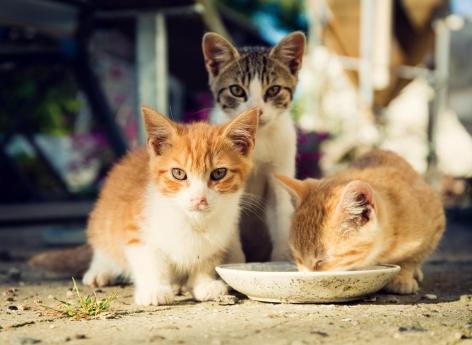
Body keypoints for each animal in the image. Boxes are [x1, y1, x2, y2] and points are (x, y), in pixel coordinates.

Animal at [81, 107, 258, 304]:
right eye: (178, 173)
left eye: (219, 173)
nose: (199, 199)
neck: (193, 221)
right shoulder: (136, 229)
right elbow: (150, 260)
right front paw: (154, 289)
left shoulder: (223, 234)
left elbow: (207, 259)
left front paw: (204, 284)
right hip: (104, 218)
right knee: (104, 244)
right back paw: (99, 271)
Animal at [202, 32, 306, 260]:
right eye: (236, 90)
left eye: (274, 90)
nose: (256, 111)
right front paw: (235, 262)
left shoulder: (281, 167)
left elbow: (281, 211)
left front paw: (280, 260)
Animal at [274, 148, 444, 292]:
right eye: (297, 256)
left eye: (322, 261)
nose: (305, 275)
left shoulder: (435, 219)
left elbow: (414, 257)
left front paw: (403, 277)